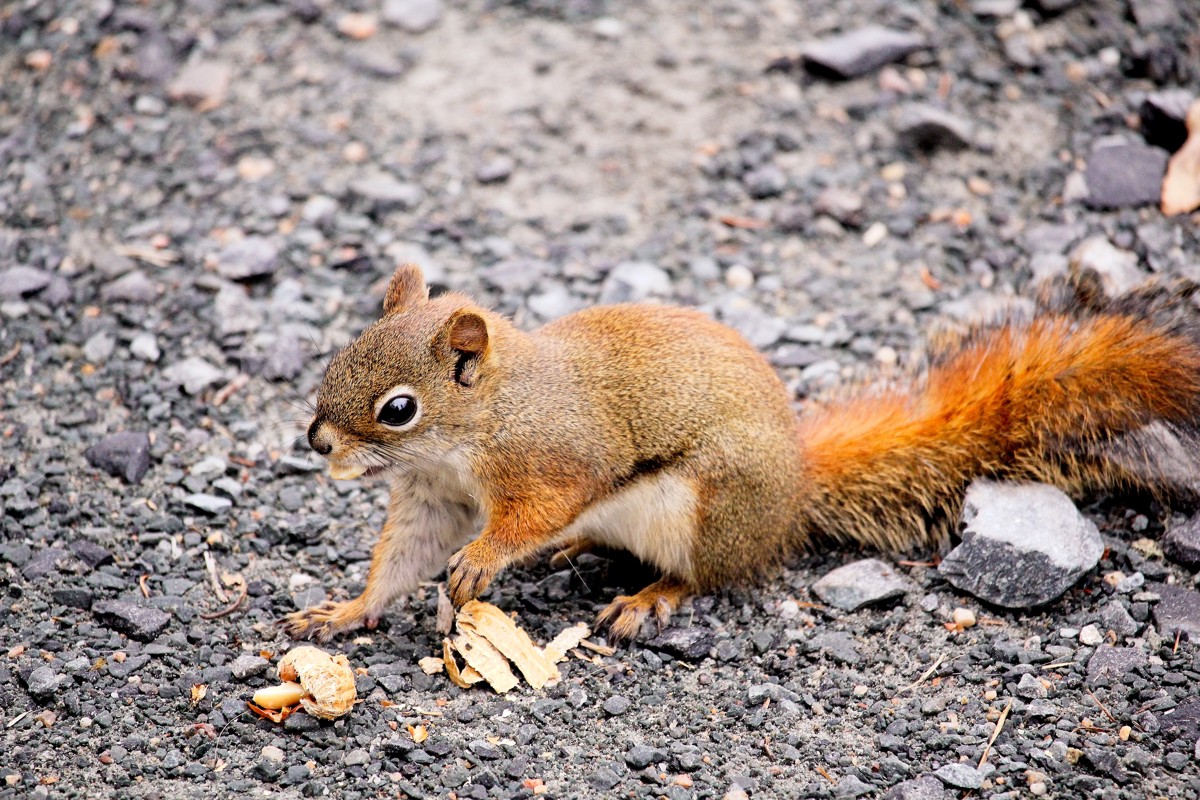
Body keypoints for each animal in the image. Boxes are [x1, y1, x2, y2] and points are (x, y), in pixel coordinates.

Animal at [285, 262, 1200, 643]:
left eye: (398, 409)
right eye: (343, 352)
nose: (317, 439)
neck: (477, 427)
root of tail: (793, 494)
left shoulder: (551, 461)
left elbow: (532, 513)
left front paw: (482, 562)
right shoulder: (436, 497)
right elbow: (403, 559)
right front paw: (346, 611)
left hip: (708, 505)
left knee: (710, 574)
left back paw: (650, 597)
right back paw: (579, 551)